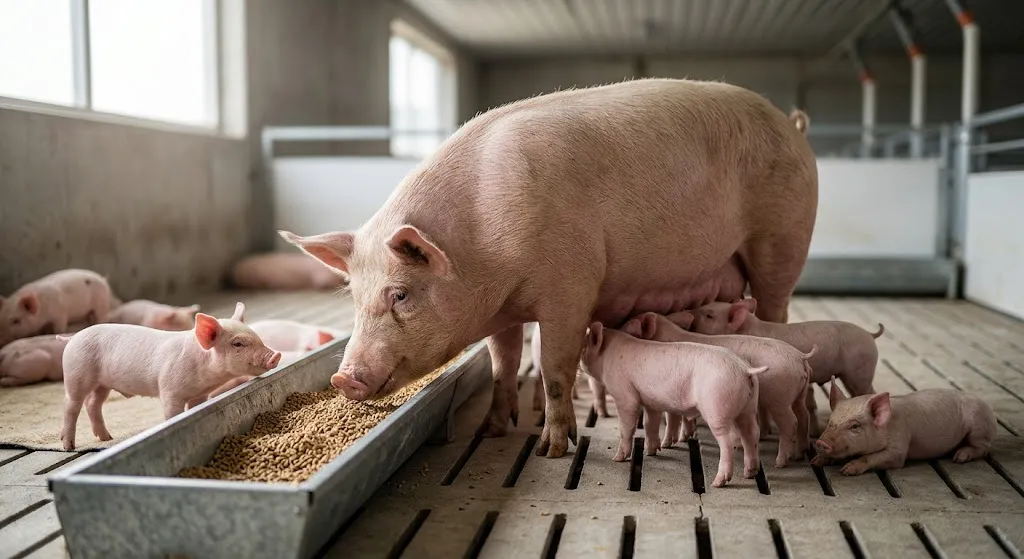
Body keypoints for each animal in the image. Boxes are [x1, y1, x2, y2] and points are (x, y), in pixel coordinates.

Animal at [59, 302, 281, 450]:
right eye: (238, 344)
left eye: (257, 337)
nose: (276, 355)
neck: (204, 375)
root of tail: (72, 337)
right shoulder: (169, 390)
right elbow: (173, 413)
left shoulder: (200, 394)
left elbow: (195, 408)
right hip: (76, 373)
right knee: (72, 405)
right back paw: (69, 446)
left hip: (102, 383)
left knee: (93, 403)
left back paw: (106, 438)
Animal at [581, 322, 764, 487]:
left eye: (584, 346)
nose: (579, 363)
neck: (607, 356)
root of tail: (744, 369)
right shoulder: (651, 401)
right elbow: (650, 424)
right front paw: (651, 452)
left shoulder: (624, 395)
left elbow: (626, 427)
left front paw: (617, 459)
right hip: (748, 407)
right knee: (752, 433)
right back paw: (750, 473)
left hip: (717, 407)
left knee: (730, 438)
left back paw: (718, 482)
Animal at [623, 312, 813, 466]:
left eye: (634, 319)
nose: (621, 324)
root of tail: (800, 357)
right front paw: (684, 437)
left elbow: (672, 417)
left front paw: (666, 444)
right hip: (798, 395)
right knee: (804, 415)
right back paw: (799, 455)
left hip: (780, 399)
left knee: (791, 423)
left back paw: (780, 462)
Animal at [688, 298, 882, 435]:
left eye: (709, 315)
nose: (689, 312)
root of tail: (870, 334)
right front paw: (765, 432)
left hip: (860, 370)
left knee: (869, 391)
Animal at [811, 378, 996, 475]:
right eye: (830, 422)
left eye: (855, 426)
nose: (821, 442)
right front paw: (816, 462)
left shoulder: (899, 446)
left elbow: (874, 457)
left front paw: (847, 470)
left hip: (978, 426)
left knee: (984, 448)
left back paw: (959, 457)